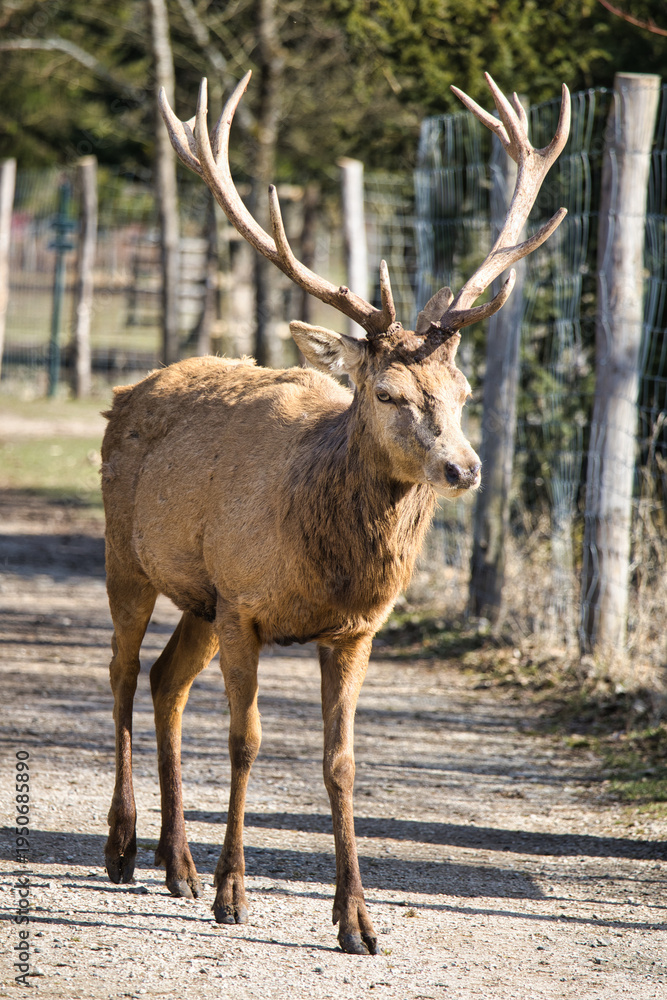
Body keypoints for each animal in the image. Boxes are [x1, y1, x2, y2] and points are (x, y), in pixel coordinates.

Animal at [101, 71, 570, 955]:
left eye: (462, 391)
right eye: (385, 393)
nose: (462, 467)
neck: (327, 562)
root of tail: (133, 385)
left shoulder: (352, 630)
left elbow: (341, 761)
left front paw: (356, 920)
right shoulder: (246, 604)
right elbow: (246, 742)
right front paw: (234, 895)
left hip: (200, 597)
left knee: (164, 680)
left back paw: (175, 863)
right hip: (127, 557)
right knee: (118, 675)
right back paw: (123, 849)